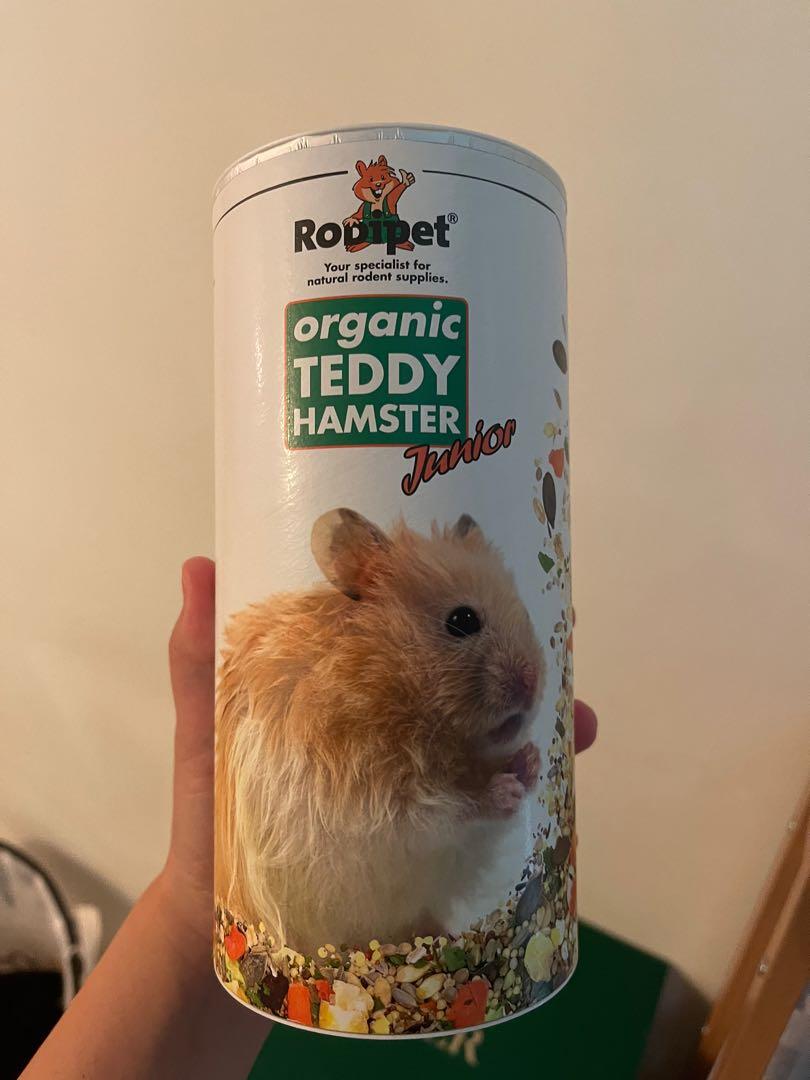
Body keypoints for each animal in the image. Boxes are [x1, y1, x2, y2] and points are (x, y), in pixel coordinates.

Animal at [215, 509, 545, 954]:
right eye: (462, 620)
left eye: (525, 612)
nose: (532, 682)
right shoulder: (367, 803)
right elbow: (445, 810)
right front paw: (505, 789)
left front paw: (531, 760)